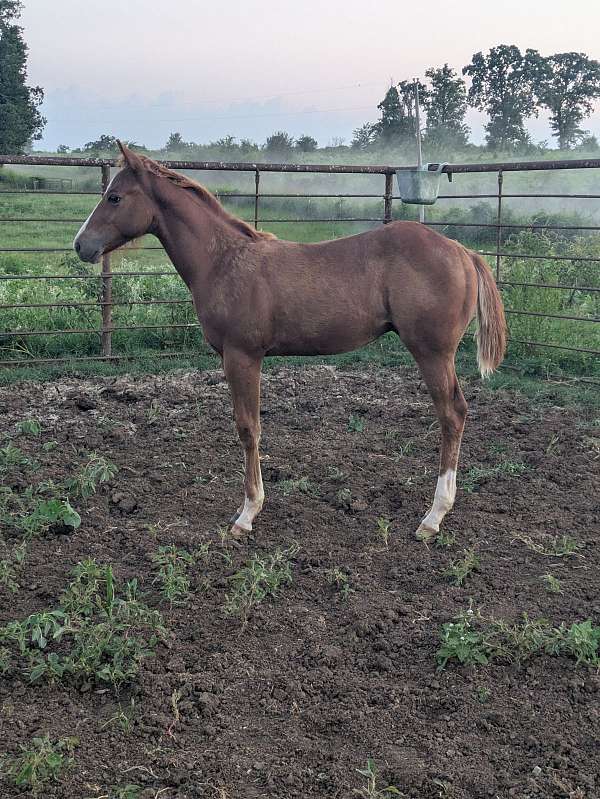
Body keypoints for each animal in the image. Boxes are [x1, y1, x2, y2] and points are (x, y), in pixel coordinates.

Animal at [74, 141, 506, 541]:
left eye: (114, 197)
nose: (81, 245)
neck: (223, 261)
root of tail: (463, 252)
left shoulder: (242, 356)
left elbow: (248, 428)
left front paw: (247, 513)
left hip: (432, 352)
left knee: (451, 415)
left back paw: (433, 517)